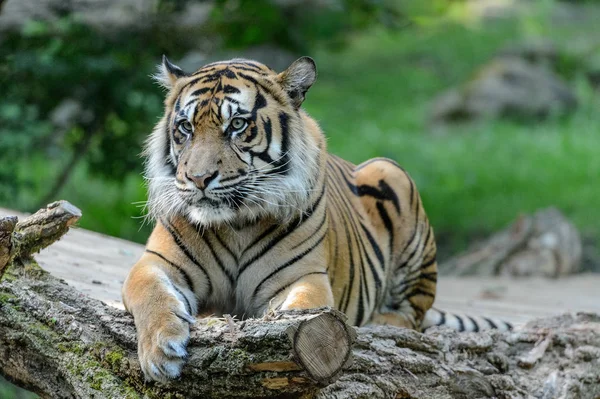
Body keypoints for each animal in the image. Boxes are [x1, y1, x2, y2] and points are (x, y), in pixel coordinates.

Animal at [123, 54, 510, 382]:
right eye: (185, 127)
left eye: (237, 124)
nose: (199, 179)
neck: (236, 223)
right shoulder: (154, 263)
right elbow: (151, 295)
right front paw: (161, 351)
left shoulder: (303, 277)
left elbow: (303, 310)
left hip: (393, 177)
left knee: (411, 315)